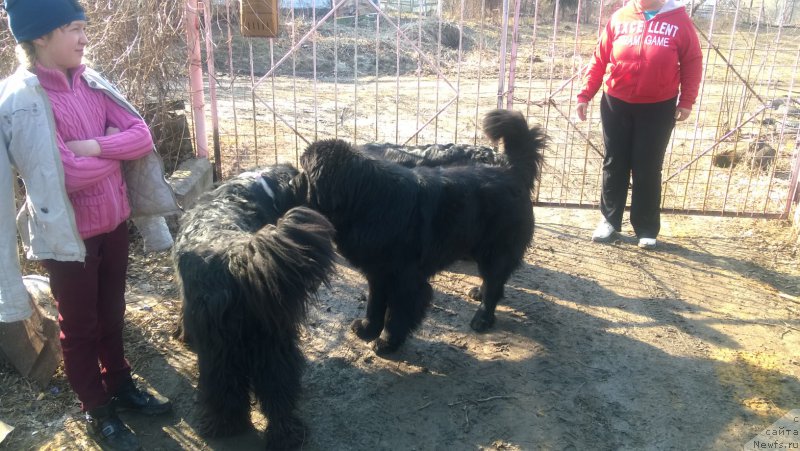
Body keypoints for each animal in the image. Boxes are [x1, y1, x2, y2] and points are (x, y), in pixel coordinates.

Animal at [172, 163, 335, 449]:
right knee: (275, 386)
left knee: (231, 387)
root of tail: (235, 258)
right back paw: (281, 433)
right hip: (269, 341)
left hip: (227, 348)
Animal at [299, 109, 545, 355]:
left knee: (495, 283)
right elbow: (374, 305)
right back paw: (478, 292)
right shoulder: (378, 274)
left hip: (496, 250)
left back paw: (482, 318)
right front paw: (368, 329)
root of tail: (511, 170)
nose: (292, 180)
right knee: (493, 280)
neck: (366, 201)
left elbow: (396, 314)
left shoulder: (404, 280)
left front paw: (387, 342)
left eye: (304, 173)